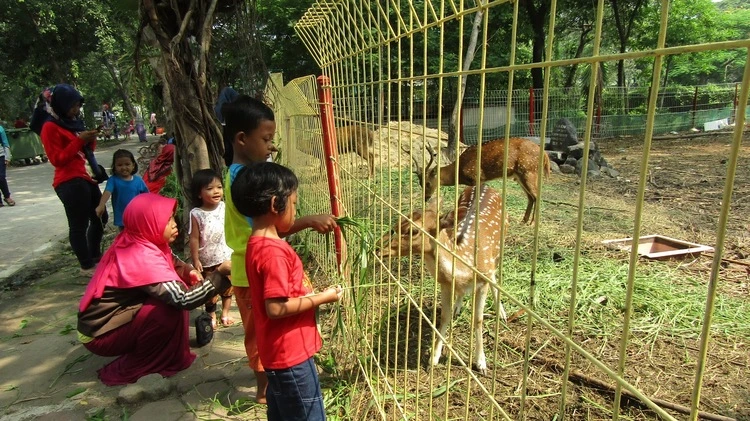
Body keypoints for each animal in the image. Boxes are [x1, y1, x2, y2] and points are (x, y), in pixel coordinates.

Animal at [378, 184, 508, 374]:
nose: (380, 248)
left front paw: (481, 363)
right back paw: (457, 308)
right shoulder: (445, 284)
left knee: (495, 277)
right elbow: (444, 317)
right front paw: (433, 359)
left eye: (413, 231)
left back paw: (502, 313)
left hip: (499, 250)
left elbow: (478, 320)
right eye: (396, 223)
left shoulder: (482, 282)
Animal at [412, 137, 552, 223]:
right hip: (520, 176)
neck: (460, 170)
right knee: (530, 197)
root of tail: (545, 155)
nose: (426, 198)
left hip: (528, 170)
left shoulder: (476, 177)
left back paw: (532, 223)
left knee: (536, 196)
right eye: (420, 183)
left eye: (428, 183)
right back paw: (523, 221)